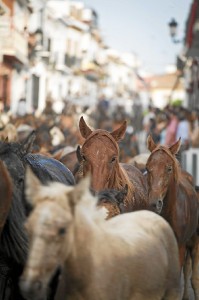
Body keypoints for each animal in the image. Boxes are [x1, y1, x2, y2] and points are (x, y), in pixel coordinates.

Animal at [146, 136, 199, 300]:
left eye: (169, 168)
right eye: (147, 168)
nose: (154, 202)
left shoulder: (180, 246)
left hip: (194, 241)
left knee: (192, 275)